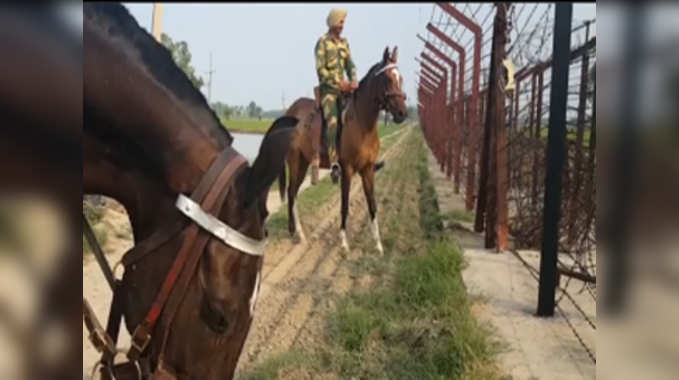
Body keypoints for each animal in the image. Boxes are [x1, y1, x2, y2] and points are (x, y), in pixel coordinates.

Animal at [278, 46, 406, 252]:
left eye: (400, 78)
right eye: (388, 79)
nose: (402, 113)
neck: (362, 124)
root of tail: (289, 112)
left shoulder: (367, 169)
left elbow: (372, 205)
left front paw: (378, 245)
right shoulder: (347, 169)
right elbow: (344, 205)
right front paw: (344, 243)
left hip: (304, 162)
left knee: (293, 192)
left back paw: (295, 232)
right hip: (295, 161)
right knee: (291, 193)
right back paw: (298, 233)